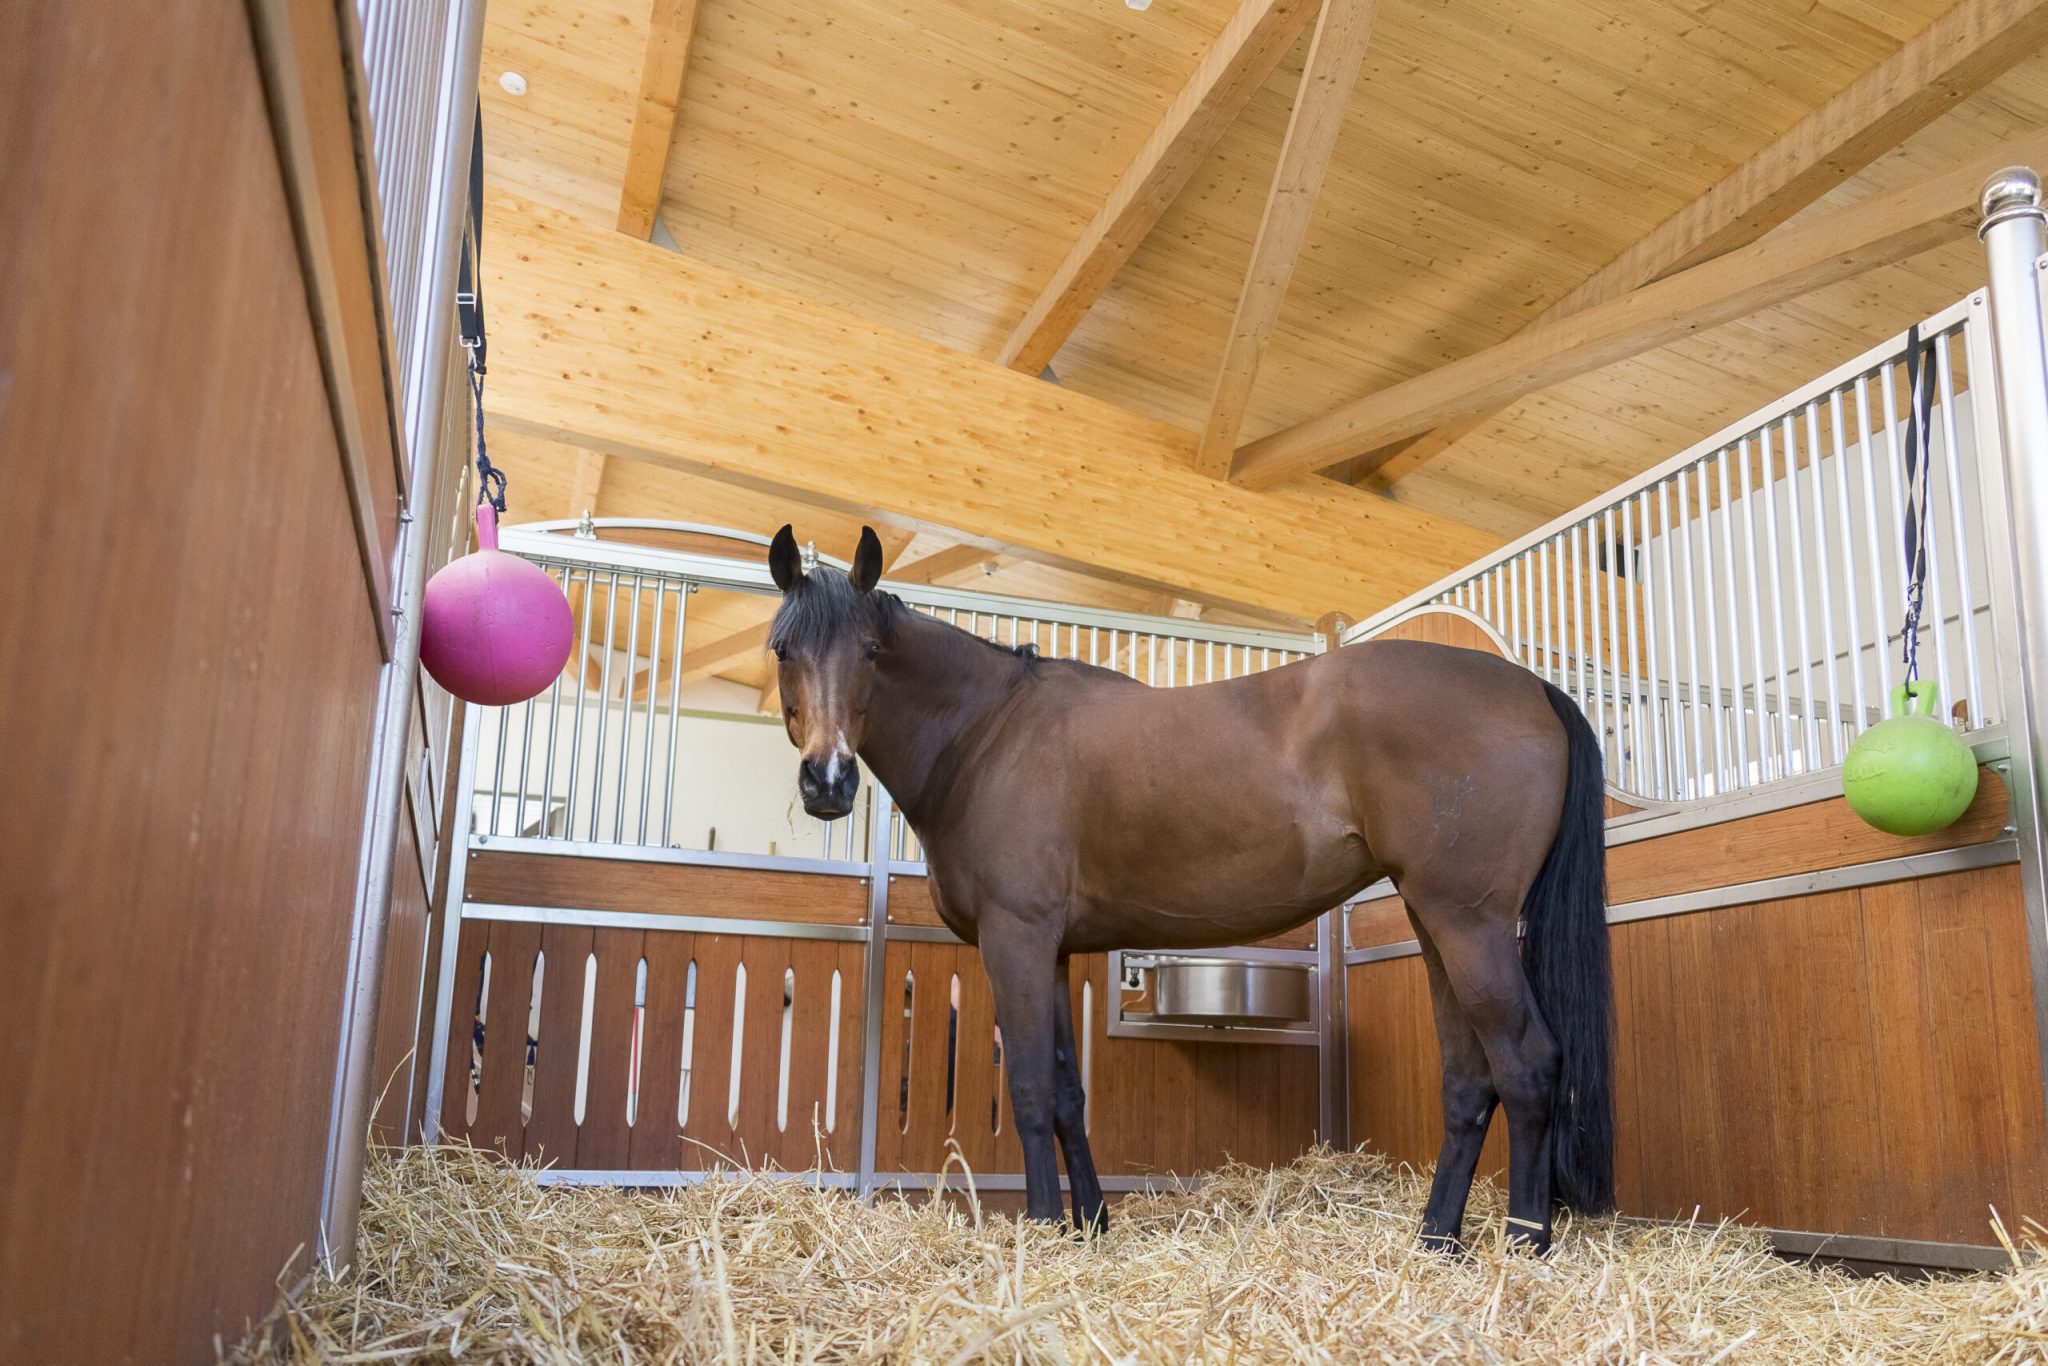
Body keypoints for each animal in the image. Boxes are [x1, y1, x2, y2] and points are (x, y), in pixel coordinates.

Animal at [764, 525, 1613, 1252]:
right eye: (782, 651)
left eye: (872, 651)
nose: (827, 781)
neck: (989, 736)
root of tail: (1534, 688)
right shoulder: (1054, 950)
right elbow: (1068, 1093)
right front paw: (1090, 1225)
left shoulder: (1017, 939)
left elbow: (1032, 1090)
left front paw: (1041, 1232)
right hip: (1436, 922)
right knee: (1470, 1080)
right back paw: (1436, 1242)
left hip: (1472, 926)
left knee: (1528, 1064)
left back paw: (1524, 1243)